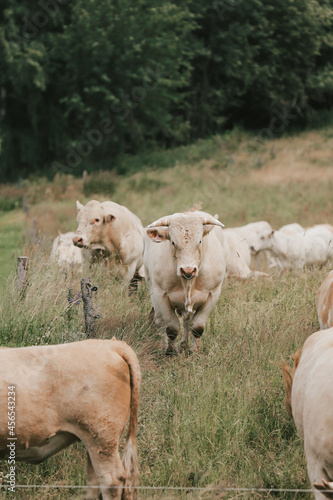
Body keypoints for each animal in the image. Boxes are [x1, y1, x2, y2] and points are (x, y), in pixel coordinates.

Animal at [143, 210, 226, 356]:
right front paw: (170, 352)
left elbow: (197, 327)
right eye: (173, 242)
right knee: (160, 321)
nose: (188, 270)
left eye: (199, 241)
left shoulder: (213, 294)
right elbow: (171, 328)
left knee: (187, 320)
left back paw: (183, 344)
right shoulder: (161, 295)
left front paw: (195, 350)